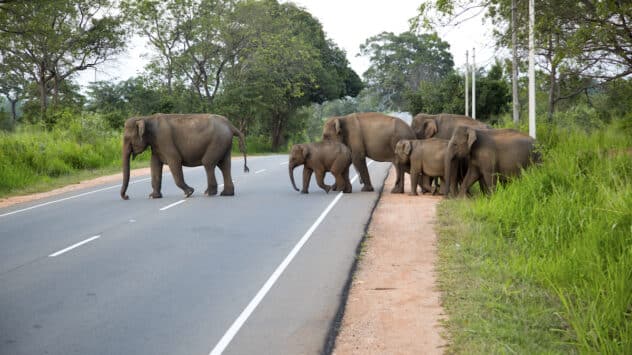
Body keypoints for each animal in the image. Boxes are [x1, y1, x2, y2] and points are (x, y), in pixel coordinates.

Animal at [119, 113, 248, 200]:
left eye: (128, 139)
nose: (127, 196)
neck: (146, 118)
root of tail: (231, 126)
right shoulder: (156, 145)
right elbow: (154, 165)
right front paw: (153, 196)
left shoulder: (164, 140)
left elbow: (175, 161)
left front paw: (189, 193)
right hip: (224, 143)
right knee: (224, 165)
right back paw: (226, 194)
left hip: (218, 141)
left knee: (208, 163)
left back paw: (208, 193)